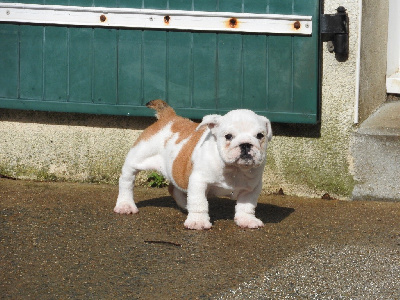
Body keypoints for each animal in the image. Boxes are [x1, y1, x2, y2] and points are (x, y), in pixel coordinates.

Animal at [114, 100, 274, 230]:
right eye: (228, 136)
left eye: (260, 135)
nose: (246, 144)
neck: (234, 169)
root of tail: (168, 118)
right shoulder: (199, 182)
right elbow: (199, 202)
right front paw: (198, 222)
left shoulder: (252, 188)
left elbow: (247, 205)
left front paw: (247, 220)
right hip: (137, 158)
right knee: (126, 180)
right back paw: (125, 205)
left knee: (174, 188)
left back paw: (185, 204)